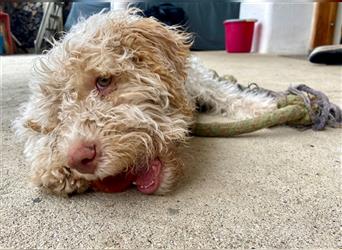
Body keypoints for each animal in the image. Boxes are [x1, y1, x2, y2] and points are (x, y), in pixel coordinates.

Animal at [14, 9, 276, 193]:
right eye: (56, 119)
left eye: (103, 80)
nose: (79, 158)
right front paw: (54, 169)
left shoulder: (196, 79)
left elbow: (223, 93)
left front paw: (262, 107)